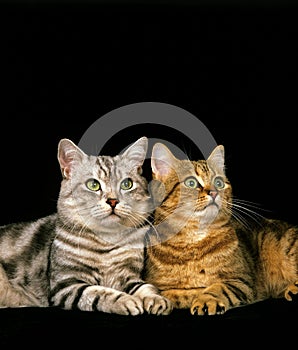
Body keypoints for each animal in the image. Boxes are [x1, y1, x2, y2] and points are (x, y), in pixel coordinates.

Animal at [0, 137, 172, 318]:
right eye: (93, 185)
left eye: (127, 184)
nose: (113, 201)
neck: (107, 241)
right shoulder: (67, 284)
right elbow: (100, 293)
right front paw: (126, 300)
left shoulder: (129, 275)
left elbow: (146, 287)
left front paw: (157, 300)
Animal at [143, 142, 296, 314]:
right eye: (191, 183)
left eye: (219, 183)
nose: (214, 192)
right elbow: (177, 293)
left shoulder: (241, 281)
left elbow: (217, 287)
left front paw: (205, 299)